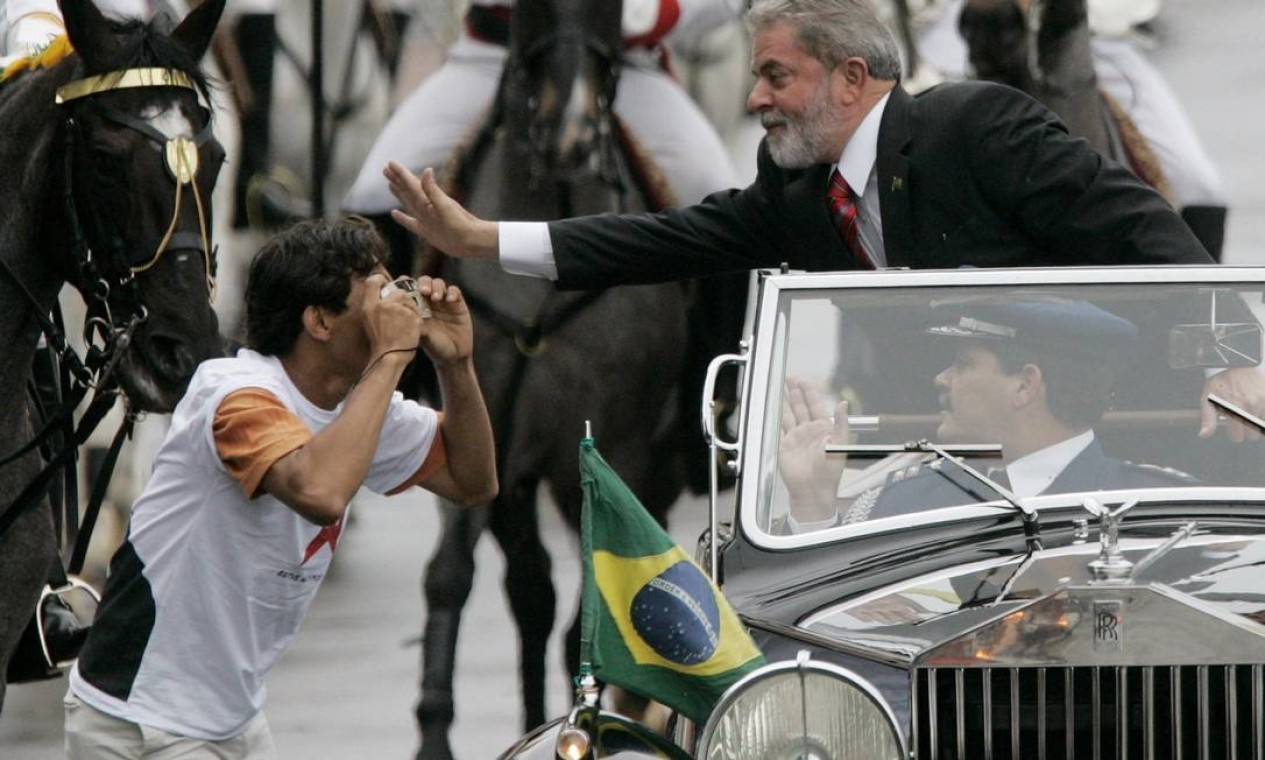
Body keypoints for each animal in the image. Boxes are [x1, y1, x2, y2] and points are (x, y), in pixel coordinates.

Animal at [397, 1, 703, 753]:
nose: (571, 135)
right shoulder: (482, 447)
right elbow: (449, 578)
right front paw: (434, 731)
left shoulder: (611, 452)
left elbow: (589, 617)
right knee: (529, 591)